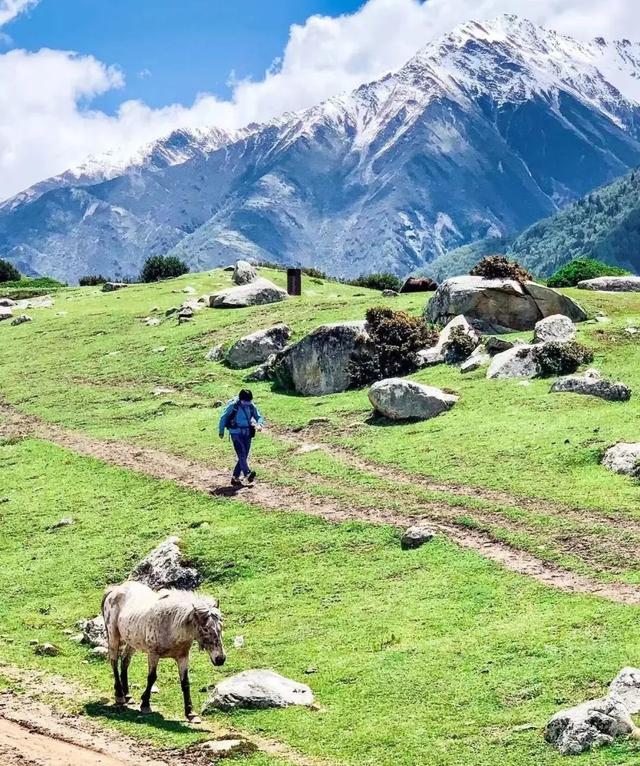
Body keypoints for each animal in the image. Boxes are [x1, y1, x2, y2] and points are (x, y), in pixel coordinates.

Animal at [102, 584, 225, 724]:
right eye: (205, 628)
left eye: (221, 626)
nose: (220, 659)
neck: (171, 624)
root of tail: (115, 589)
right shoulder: (153, 654)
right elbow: (151, 677)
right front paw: (145, 704)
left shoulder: (183, 657)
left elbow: (185, 682)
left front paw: (191, 713)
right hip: (113, 636)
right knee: (114, 661)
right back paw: (119, 695)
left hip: (131, 641)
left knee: (125, 661)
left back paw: (127, 695)